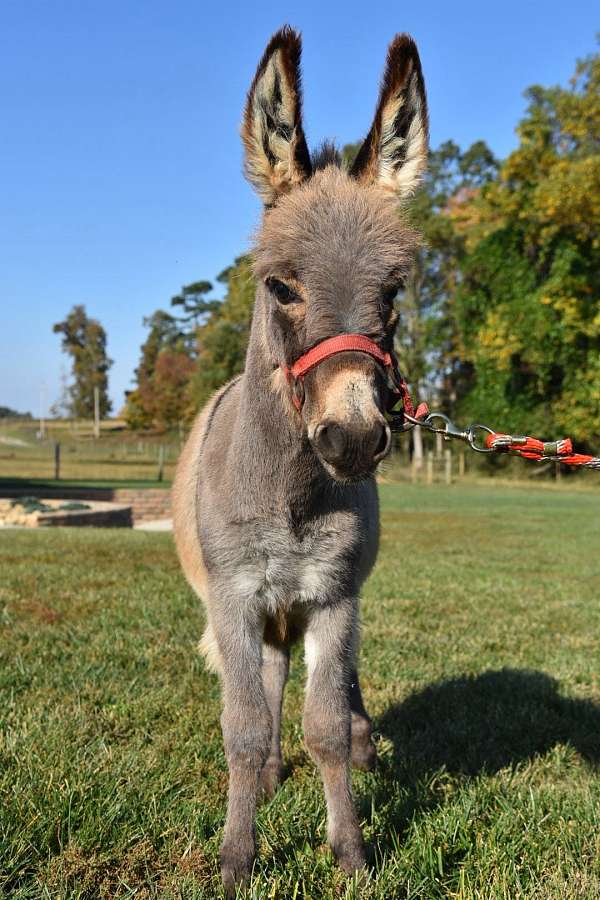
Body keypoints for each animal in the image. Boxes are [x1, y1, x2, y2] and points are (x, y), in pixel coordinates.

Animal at [171, 24, 428, 896]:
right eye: (280, 286)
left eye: (394, 292)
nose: (351, 439)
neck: (290, 495)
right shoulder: (236, 597)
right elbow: (245, 727)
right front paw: (237, 858)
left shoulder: (332, 595)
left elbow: (323, 723)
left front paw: (349, 851)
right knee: (264, 689)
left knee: (331, 691)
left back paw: (358, 742)